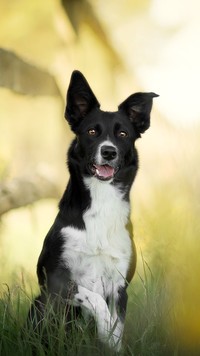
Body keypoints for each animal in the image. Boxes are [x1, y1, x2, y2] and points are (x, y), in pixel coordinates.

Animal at [28, 70, 159, 350]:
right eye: (91, 131)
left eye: (123, 134)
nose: (108, 152)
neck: (101, 201)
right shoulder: (56, 280)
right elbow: (95, 300)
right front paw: (105, 329)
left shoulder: (120, 286)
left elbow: (117, 326)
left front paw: (111, 340)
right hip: (40, 304)